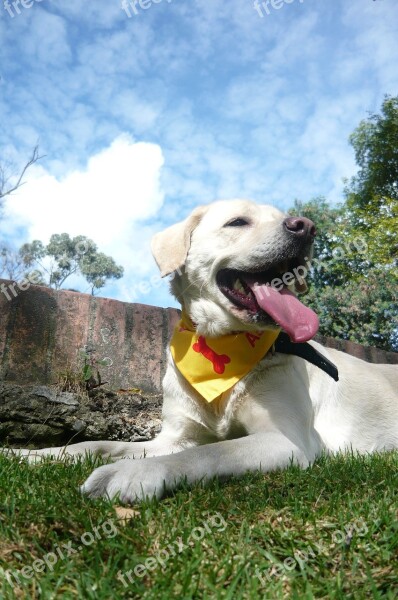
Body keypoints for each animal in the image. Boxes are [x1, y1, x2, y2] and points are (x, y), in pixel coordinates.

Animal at [7, 200, 398, 502]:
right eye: (238, 222)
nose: (306, 227)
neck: (222, 347)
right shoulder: (175, 436)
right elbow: (93, 445)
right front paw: (25, 454)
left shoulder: (287, 439)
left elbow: (212, 451)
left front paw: (136, 472)